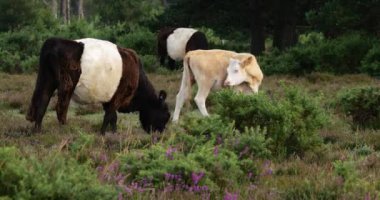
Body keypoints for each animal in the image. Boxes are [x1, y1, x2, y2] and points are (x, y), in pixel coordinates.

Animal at [26, 37, 170, 134]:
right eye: (166, 115)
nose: (160, 133)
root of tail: (54, 41)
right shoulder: (118, 96)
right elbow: (109, 116)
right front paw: (102, 134)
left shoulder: (109, 99)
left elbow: (113, 117)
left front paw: (114, 133)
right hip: (66, 85)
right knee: (60, 109)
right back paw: (65, 129)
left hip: (46, 80)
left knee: (42, 102)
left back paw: (38, 131)